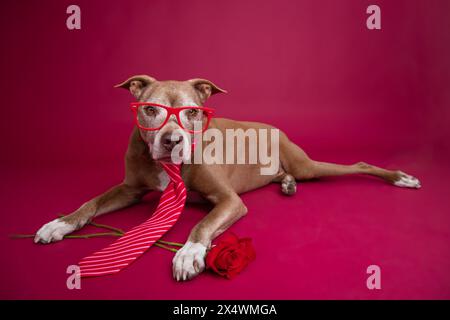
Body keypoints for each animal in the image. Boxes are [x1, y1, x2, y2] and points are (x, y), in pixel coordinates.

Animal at [35, 75, 422, 280]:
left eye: (193, 111)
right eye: (150, 109)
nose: (172, 141)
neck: (169, 165)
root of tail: (273, 126)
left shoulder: (229, 201)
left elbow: (202, 224)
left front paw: (189, 253)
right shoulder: (128, 189)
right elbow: (89, 204)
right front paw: (58, 224)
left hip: (308, 165)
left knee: (360, 165)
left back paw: (401, 178)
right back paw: (286, 184)